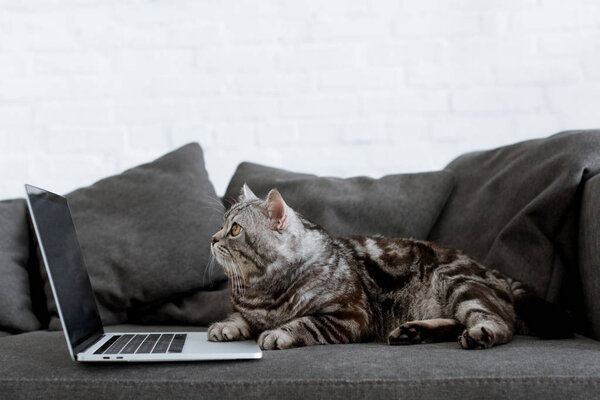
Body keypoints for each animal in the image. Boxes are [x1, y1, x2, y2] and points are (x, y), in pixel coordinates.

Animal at [207, 184, 572, 350]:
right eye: (222, 223)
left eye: (235, 229)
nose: (212, 238)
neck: (264, 287)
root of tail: (491, 270)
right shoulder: (248, 310)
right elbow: (239, 317)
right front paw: (225, 327)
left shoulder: (349, 316)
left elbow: (303, 323)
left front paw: (278, 332)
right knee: (457, 321)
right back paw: (414, 332)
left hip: (456, 282)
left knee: (496, 322)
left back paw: (481, 334)